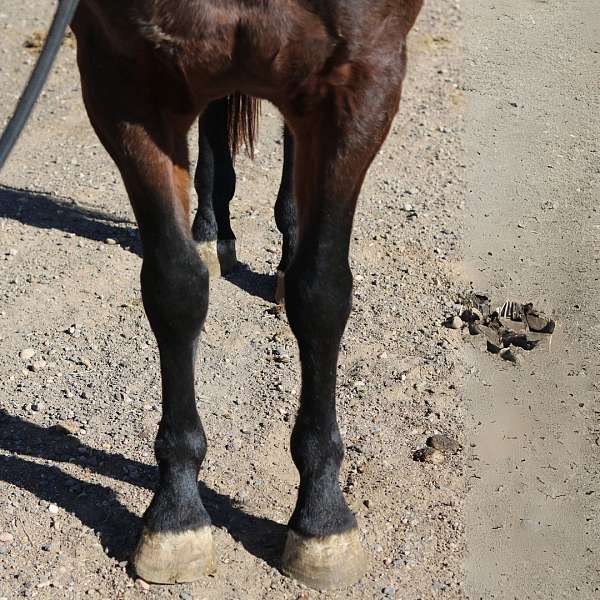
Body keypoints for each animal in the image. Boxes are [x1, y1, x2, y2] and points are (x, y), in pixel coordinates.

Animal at [70, 0, 424, 588]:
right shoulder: (122, 74)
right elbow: (175, 287)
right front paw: (176, 514)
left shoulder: (363, 76)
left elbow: (321, 294)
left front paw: (322, 518)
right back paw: (212, 231)